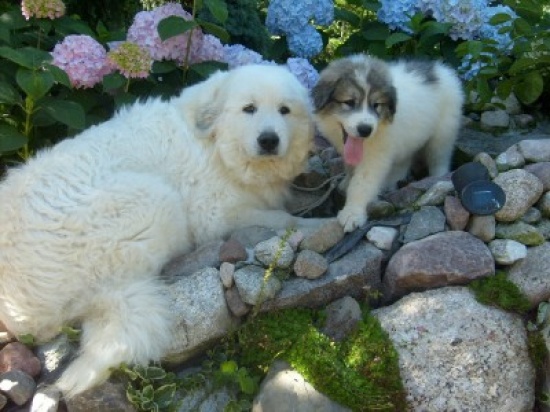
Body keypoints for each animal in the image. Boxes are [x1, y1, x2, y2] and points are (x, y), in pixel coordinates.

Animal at [0, 64, 325, 397]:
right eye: (249, 108)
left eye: (285, 110)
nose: (269, 140)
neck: (216, 144)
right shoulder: (215, 215)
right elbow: (281, 219)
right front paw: (319, 224)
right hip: (156, 198)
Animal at [312, 54, 464, 232]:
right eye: (349, 102)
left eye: (376, 105)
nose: (365, 129)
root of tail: (442, 69)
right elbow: (351, 168)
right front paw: (347, 183)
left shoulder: (375, 157)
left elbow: (362, 183)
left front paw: (352, 213)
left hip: (443, 134)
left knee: (439, 159)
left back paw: (437, 178)